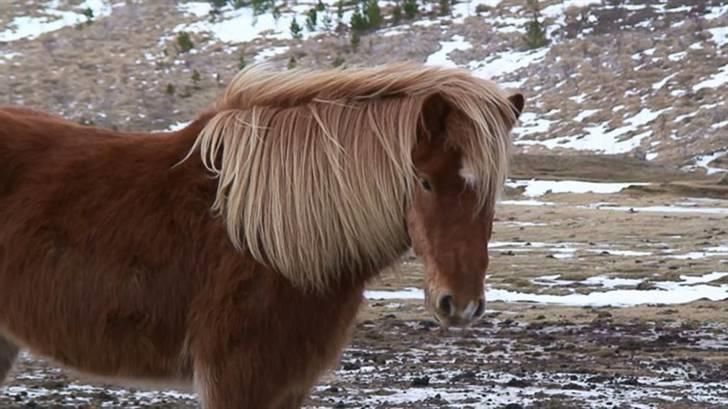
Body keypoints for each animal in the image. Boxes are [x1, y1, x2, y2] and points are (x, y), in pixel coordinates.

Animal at [0, 62, 524, 406]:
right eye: (426, 181)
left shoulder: (289, 385)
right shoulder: (238, 381)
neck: (271, 242)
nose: (461, 305)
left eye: (494, 190)